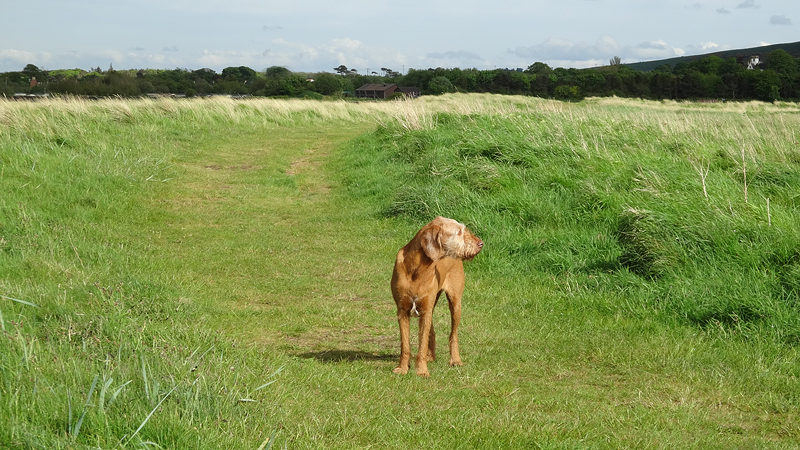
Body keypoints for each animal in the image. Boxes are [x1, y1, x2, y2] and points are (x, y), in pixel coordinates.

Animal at [390, 216, 484, 377]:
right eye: (458, 232)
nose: (480, 243)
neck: (416, 268)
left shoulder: (425, 309)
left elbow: (421, 344)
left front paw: (421, 371)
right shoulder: (402, 311)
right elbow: (405, 345)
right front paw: (402, 368)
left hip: (455, 303)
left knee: (453, 334)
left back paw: (455, 360)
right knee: (431, 331)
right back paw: (430, 356)